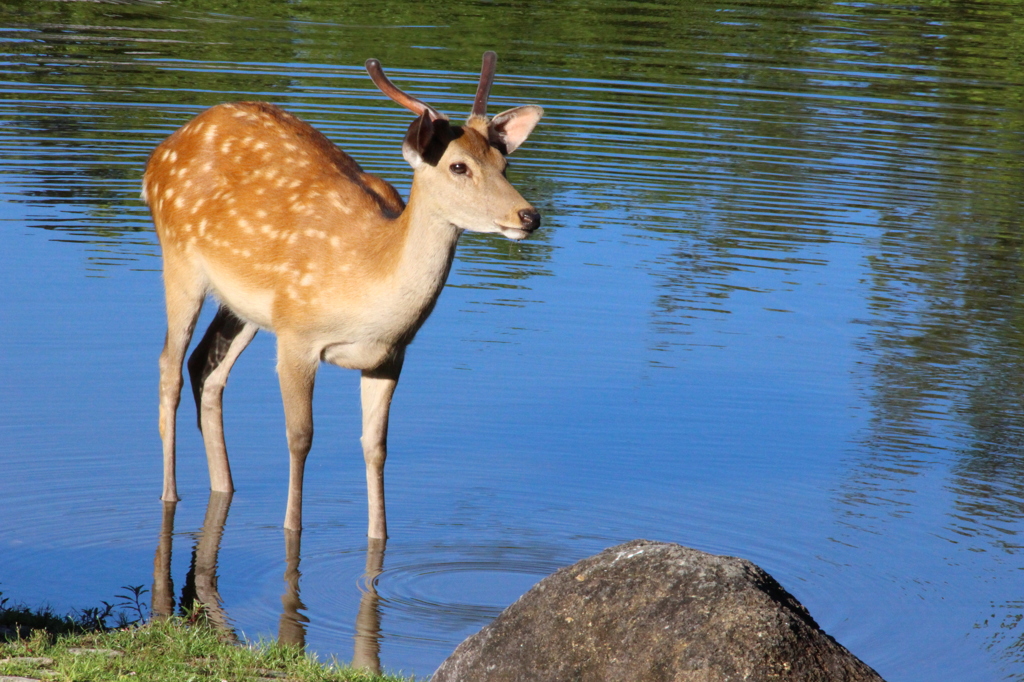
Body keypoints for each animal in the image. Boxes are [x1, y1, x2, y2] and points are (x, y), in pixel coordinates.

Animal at [142, 53, 544, 540]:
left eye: (505, 165)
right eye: (459, 167)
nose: (528, 216)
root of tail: (157, 155)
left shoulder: (390, 356)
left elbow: (376, 445)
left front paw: (380, 535)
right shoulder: (296, 335)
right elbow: (300, 438)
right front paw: (292, 527)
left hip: (245, 306)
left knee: (207, 366)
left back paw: (225, 485)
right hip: (180, 259)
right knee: (169, 365)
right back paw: (169, 494)